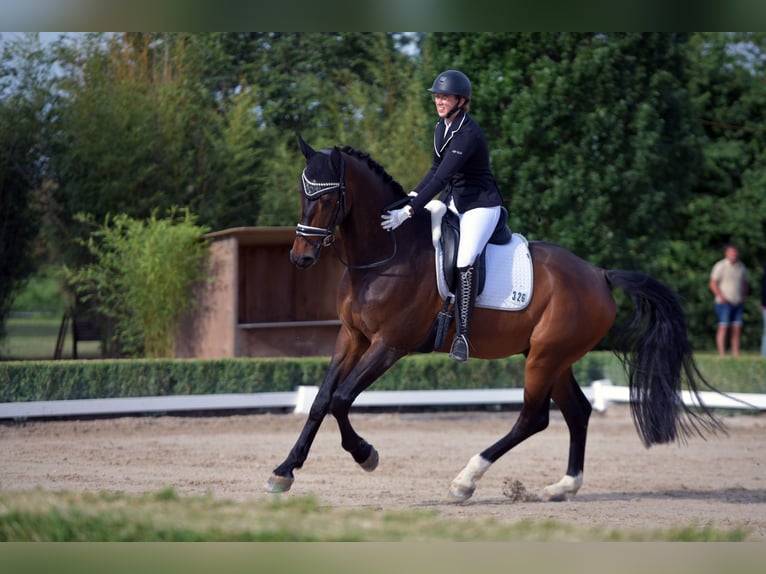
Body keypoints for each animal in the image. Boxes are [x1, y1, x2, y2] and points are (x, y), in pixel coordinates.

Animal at [265, 136, 724, 502]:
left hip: (544, 357)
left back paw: (465, 481)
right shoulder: (352, 337)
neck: (386, 253)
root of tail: (598, 274)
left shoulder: (389, 345)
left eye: (328, 198)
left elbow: (341, 399)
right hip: (553, 357)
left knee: (533, 418)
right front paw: (284, 472)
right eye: (303, 193)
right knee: (577, 412)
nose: (300, 258)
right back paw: (562, 487)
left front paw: (367, 455)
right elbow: (321, 401)